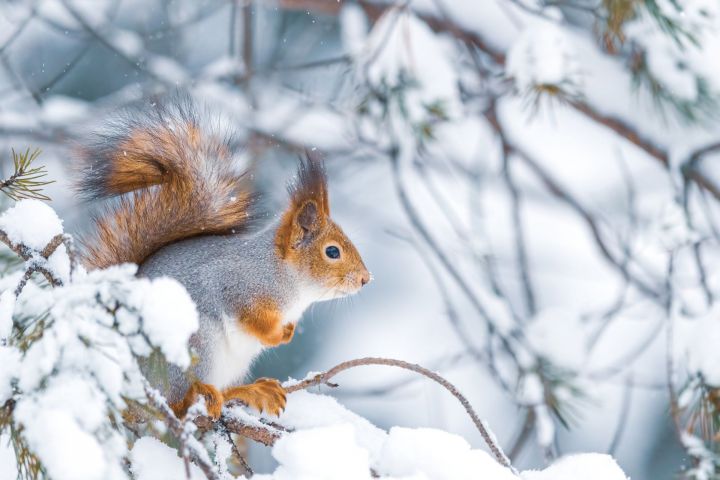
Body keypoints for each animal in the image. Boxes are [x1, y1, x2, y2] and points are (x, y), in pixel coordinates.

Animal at [77, 98, 372, 420]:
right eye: (332, 251)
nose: (365, 279)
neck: (287, 281)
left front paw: (288, 332)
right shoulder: (235, 284)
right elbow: (251, 319)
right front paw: (275, 336)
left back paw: (253, 390)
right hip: (197, 345)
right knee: (175, 400)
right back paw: (200, 394)